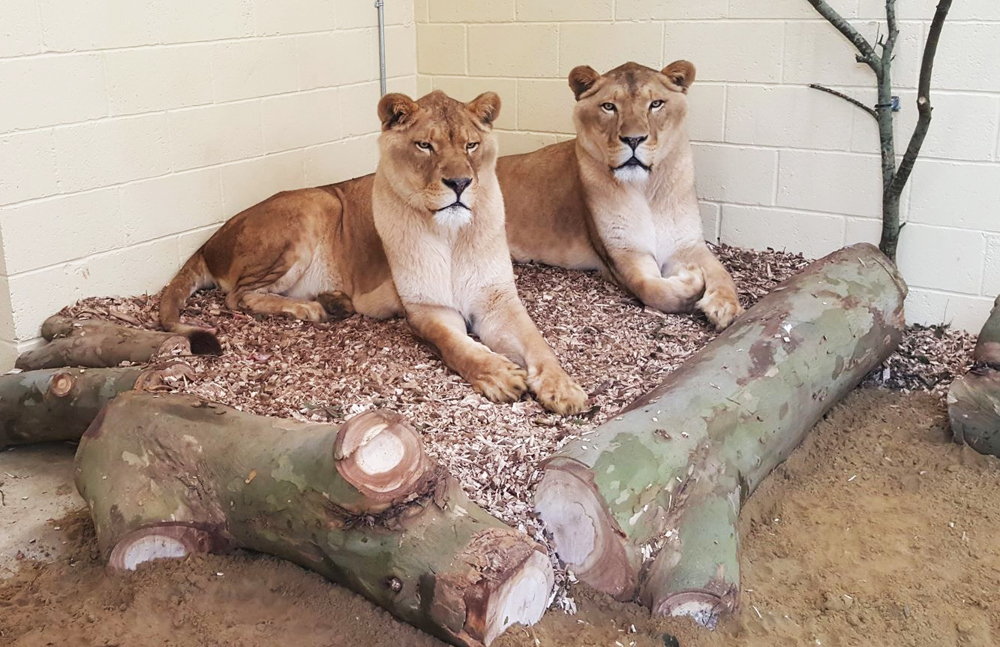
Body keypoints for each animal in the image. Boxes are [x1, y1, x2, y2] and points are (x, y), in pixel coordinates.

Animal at [158, 90, 588, 415]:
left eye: (471, 145)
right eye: (424, 145)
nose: (460, 183)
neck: (450, 236)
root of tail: (209, 241)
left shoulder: (497, 299)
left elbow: (538, 343)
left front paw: (564, 389)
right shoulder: (427, 308)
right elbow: (458, 347)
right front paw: (498, 375)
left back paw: (334, 301)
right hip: (318, 204)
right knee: (237, 296)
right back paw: (312, 309)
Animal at [496, 61, 742, 329]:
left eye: (655, 104)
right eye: (609, 106)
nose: (633, 139)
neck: (646, 188)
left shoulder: (687, 244)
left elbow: (722, 272)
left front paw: (724, 306)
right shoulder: (624, 253)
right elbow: (652, 289)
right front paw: (692, 279)